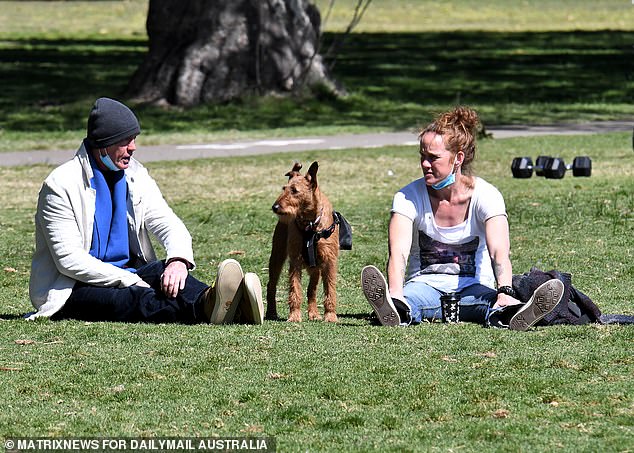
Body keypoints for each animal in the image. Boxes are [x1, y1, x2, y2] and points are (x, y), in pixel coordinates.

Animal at [266, 160, 338, 322]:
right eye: (284, 189)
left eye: (294, 190)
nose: (275, 207)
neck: (310, 224)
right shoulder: (295, 261)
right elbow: (295, 290)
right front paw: (294, 316)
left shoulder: (329, 261)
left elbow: (329, 289)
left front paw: (330, 316)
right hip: (277, 256)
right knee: (271, 285)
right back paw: (271, 312)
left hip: (316, 268)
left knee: (312, 290)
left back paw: (313, 313)